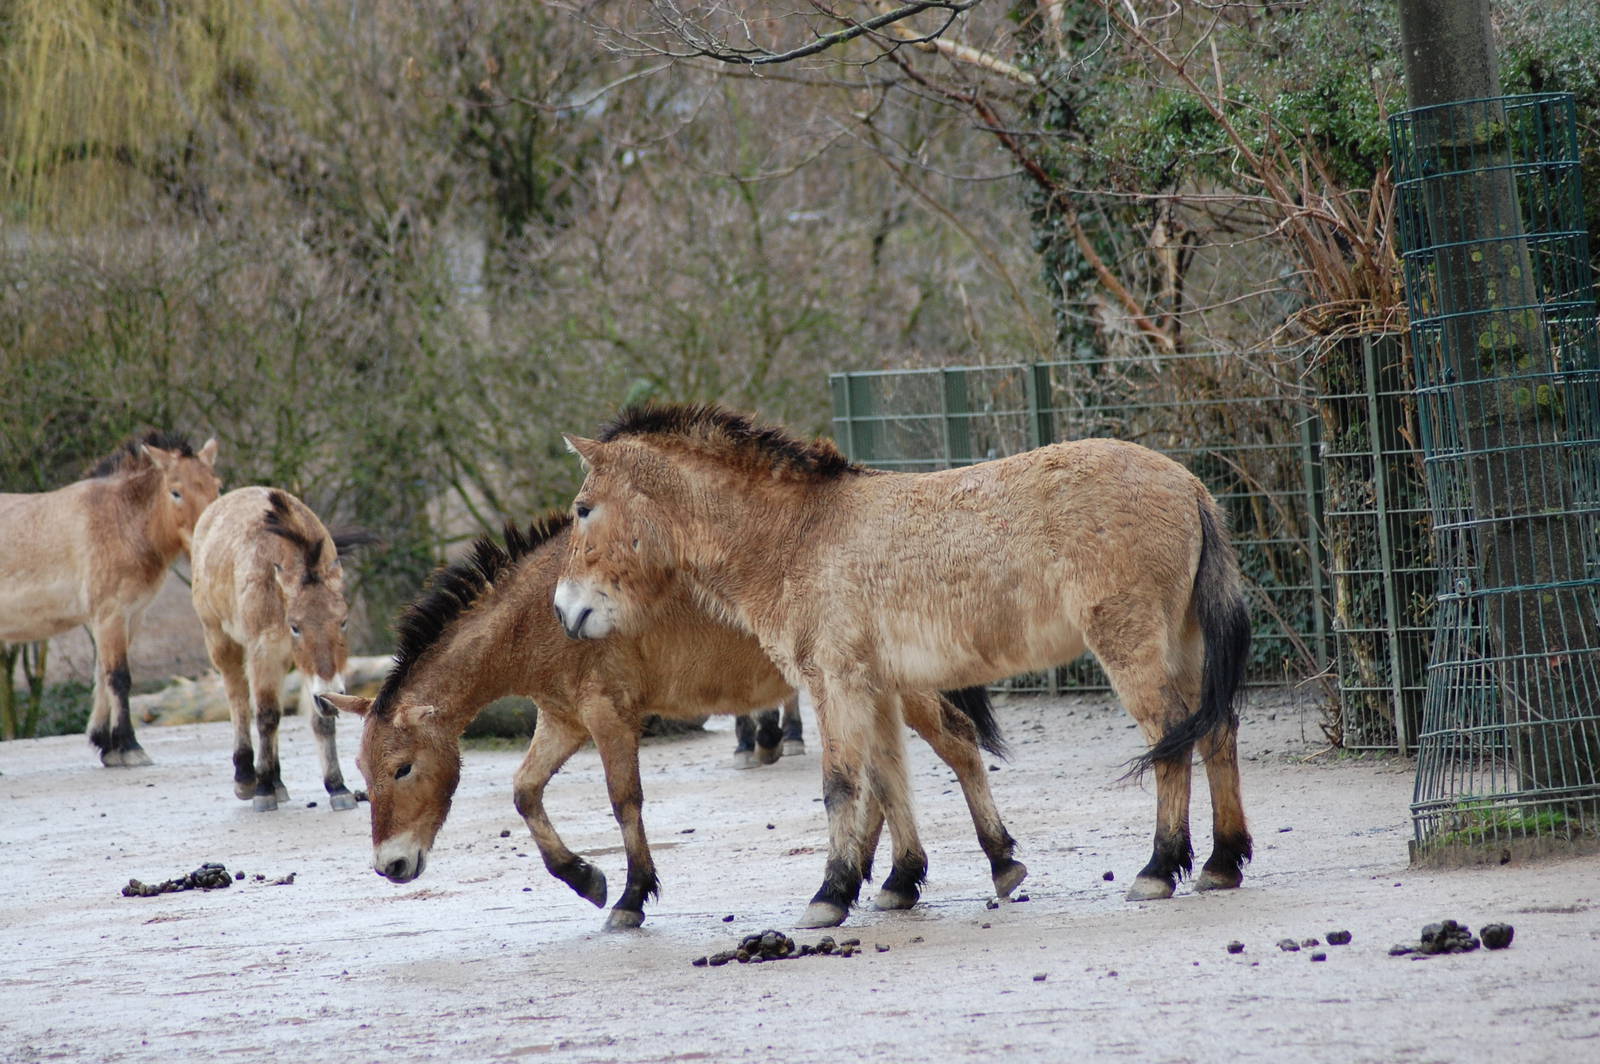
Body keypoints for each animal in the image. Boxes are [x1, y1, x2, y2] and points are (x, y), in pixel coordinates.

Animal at [0, 431, 221, 766]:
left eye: (217, 486)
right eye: (176, 492)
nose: (208, 541)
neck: (120, 521)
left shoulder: (130, 616)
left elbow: (102, 676)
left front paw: (107, 744)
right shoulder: (110, 616)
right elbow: (118, 677)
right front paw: (129, 746)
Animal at [190, 487, 373, 812]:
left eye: (343, 621)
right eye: (296, 626)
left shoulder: (309, 668)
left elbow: (320, 718)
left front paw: (337, 787)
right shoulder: (264, 650)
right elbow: (266, 715)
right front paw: (262, 790)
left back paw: (276, 781)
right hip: (221, 641)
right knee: (238, 698)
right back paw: (247, 777)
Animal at [319, 512, 1025, 931]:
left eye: (402, 768)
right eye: (364, 772)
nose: (391, 865)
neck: (540, 612)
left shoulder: (608, 718)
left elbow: (624, 799)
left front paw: (631, 896)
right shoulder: (563, 720)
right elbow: (524, 793)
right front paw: (585, 878)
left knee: (956, 745)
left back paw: (996, 865)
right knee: (883, 777)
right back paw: (893, 881)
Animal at [552, 402, 1252, 928]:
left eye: (583, 509)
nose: (564, 610)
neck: (797, 535)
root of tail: (1187, 484)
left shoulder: (833, 682)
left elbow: (841, 785)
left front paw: (829, 895)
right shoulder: (877, 687)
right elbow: (887, 780)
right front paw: (900, 882)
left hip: (1132, 646)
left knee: (1171, 737)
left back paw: (1159, 869)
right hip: (1183, 644)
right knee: (1216, 731)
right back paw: (1221, 863)